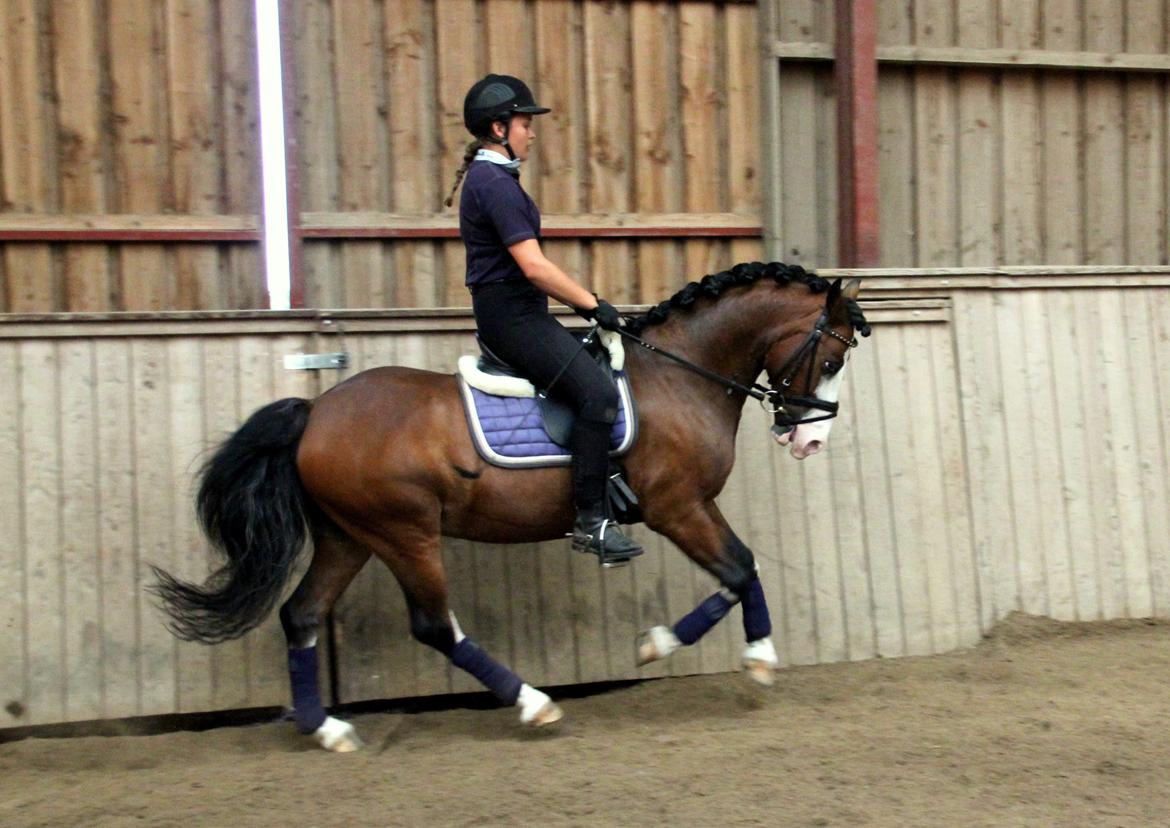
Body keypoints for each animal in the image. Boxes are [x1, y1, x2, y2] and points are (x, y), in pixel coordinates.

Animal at [152, 261, 870, 752]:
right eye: (832, 359)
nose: (809, 440)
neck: (681, 374)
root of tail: (315, 411)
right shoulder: (677, 507)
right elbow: (740, 567)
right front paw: (758, 658)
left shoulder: (685, 509)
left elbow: (735, 573)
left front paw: (657, 645)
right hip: (404, 533)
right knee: (433, 626)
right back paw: (532, 703)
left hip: (348, 536)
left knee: (300, 615)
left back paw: (326, 729)